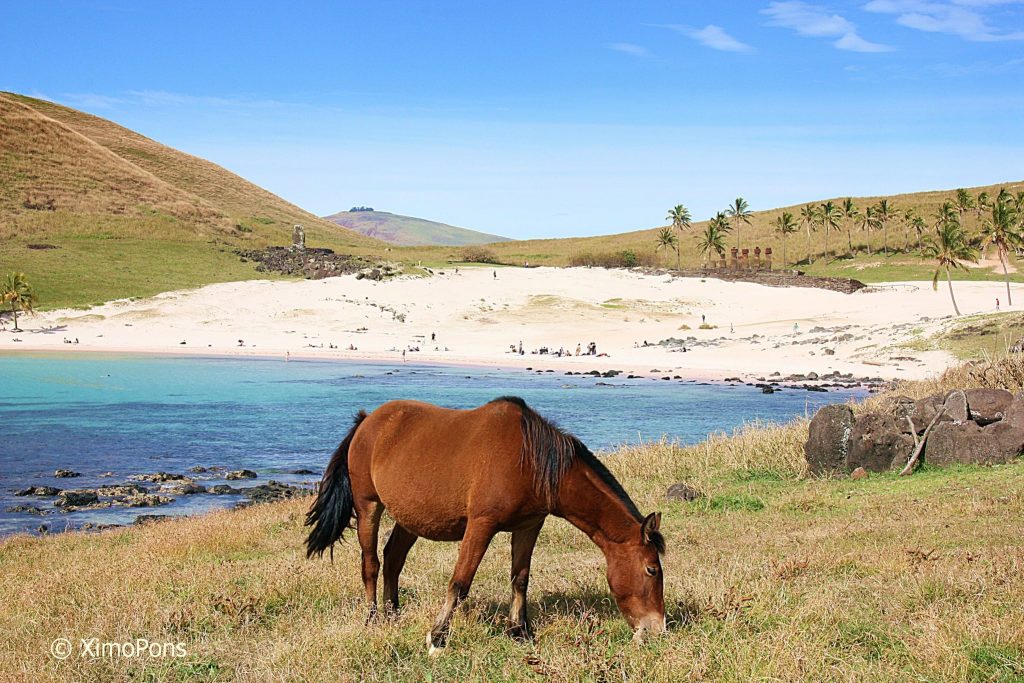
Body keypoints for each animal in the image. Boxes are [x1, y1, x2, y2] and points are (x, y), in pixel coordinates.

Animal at [305, 395, 663, 651]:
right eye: (651, 569)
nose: (657, 628)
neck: (531, 461)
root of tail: (368, 421)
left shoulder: (529, 526)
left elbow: (520, 579)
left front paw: (520, 632)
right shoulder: (481, 525)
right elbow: (460, 582)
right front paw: (438, 638)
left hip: (410, 518)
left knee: (393, 559)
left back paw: (394, 613)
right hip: (368, 505)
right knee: (371, 564)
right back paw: (373, 618)